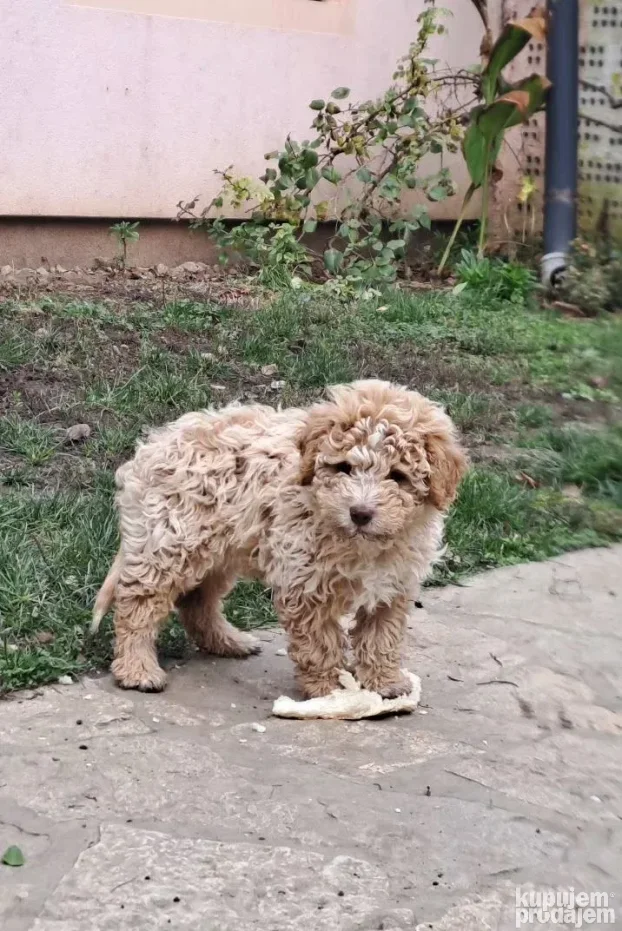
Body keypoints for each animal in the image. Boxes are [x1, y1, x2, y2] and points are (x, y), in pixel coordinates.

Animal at [92, 380, 467, 697]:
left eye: (398, 476)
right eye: (344, 468)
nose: (360, 513)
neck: (359, 545)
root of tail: (153, 446)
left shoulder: (392, 585)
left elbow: (382, 637)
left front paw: (384, 682)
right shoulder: (305, 580)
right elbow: (319, 642)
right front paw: (328, 689)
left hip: (218, 547)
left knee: (198, 601)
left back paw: (228, 642)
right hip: (171, 539)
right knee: (138, 603)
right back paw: (137, 669)